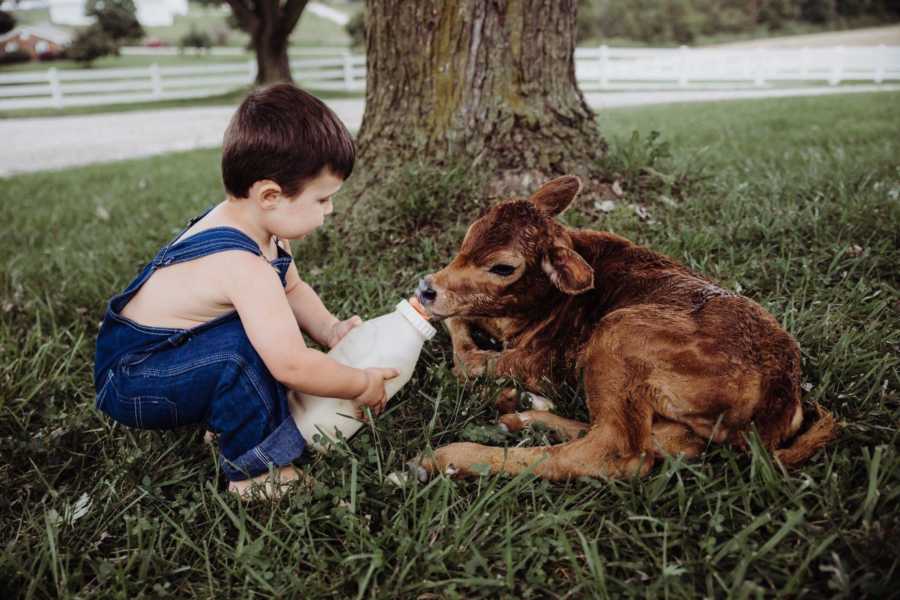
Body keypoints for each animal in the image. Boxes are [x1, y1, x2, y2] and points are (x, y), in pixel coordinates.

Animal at [414, 176, 836, 480]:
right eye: (469, 235)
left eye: (503, 267)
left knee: (616, 452)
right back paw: (521, 415)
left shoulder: (541, 364)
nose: (427, 287)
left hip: (619, 334)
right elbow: (457, 316)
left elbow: (469, 358)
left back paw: (448, 457)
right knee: (660, 442)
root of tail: (779, 398)